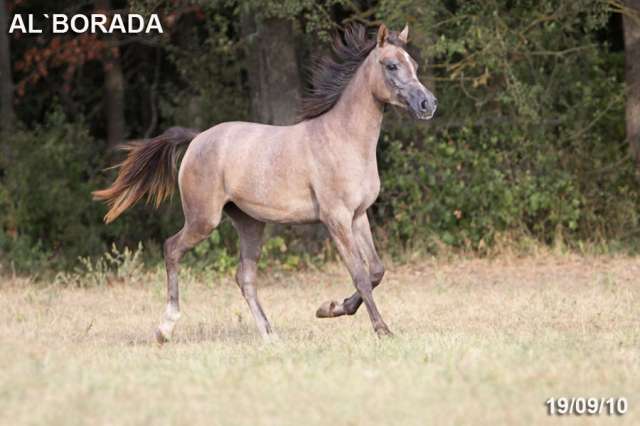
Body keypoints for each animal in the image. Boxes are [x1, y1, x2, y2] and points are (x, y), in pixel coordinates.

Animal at [94, 24, 436, 342]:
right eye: (391, 65)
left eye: (415, 64)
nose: (428, 104)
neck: (343, 139)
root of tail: (197, 138)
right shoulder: (336, 219)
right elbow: (361, 275)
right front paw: (381, 329)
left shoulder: (358, 215)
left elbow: (377, 271)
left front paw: (330, 308)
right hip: (203, 219)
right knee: (172, 249)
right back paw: (165, 328)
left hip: (249, 223)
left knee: (244, 277)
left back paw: (269, 334)